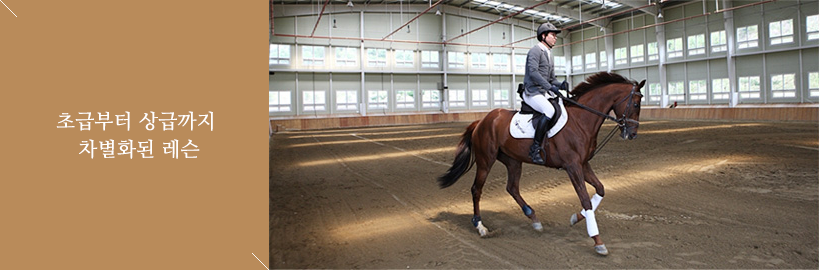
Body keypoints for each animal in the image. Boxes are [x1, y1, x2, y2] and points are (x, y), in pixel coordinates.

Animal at [438, 71, 644, 255]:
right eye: (635, 103)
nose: (632, 134)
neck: (580, 120)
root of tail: (482, 121)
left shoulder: (583, 164)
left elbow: (600, 189)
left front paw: (576, 218)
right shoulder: (573, 167)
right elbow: (585, 199)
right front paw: (598, 241)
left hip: (513, 161)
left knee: (512, 187)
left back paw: (534, 218)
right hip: (485, 160)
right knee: (477, 189)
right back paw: (480, 226)